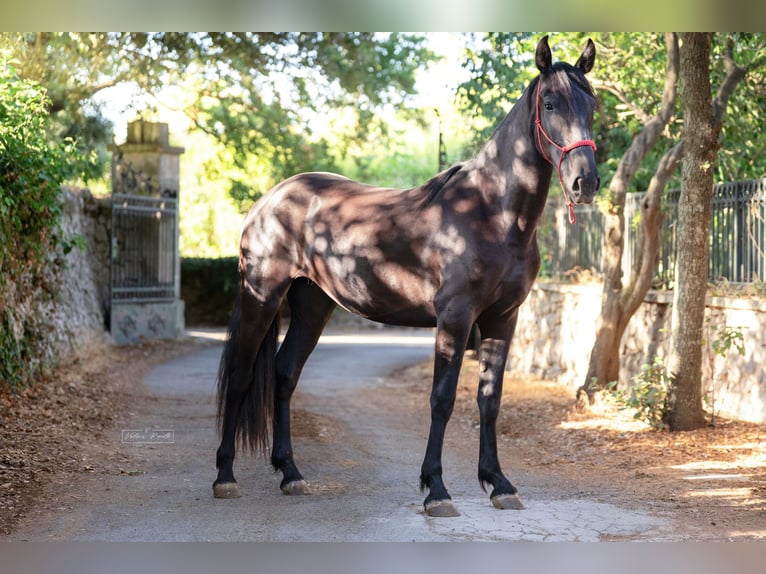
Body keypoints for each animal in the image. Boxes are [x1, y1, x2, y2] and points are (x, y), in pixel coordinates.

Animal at [213, 35, 600, 518]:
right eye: (549, 103)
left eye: (593, 104)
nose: (586, 182)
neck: (491, 213)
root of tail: (269, 199)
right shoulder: (455, 316)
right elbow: (442, 399)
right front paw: (436, 489)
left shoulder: (503, 317)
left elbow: (489, 399)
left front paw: (499, 483)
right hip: (262, 295)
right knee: (243, 374)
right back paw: (225, 476)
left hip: (312, 305)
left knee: (284, 374)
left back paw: (291, 474)